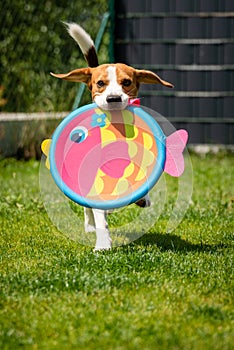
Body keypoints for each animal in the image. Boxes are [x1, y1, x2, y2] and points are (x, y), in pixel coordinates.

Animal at [50, 22, 172, 252]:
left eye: (126, 82)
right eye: (100, 83)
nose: (113, 98)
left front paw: (143, 198)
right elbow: (99, 215)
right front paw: (103, 244)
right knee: (89, 208)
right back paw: (90, 226)